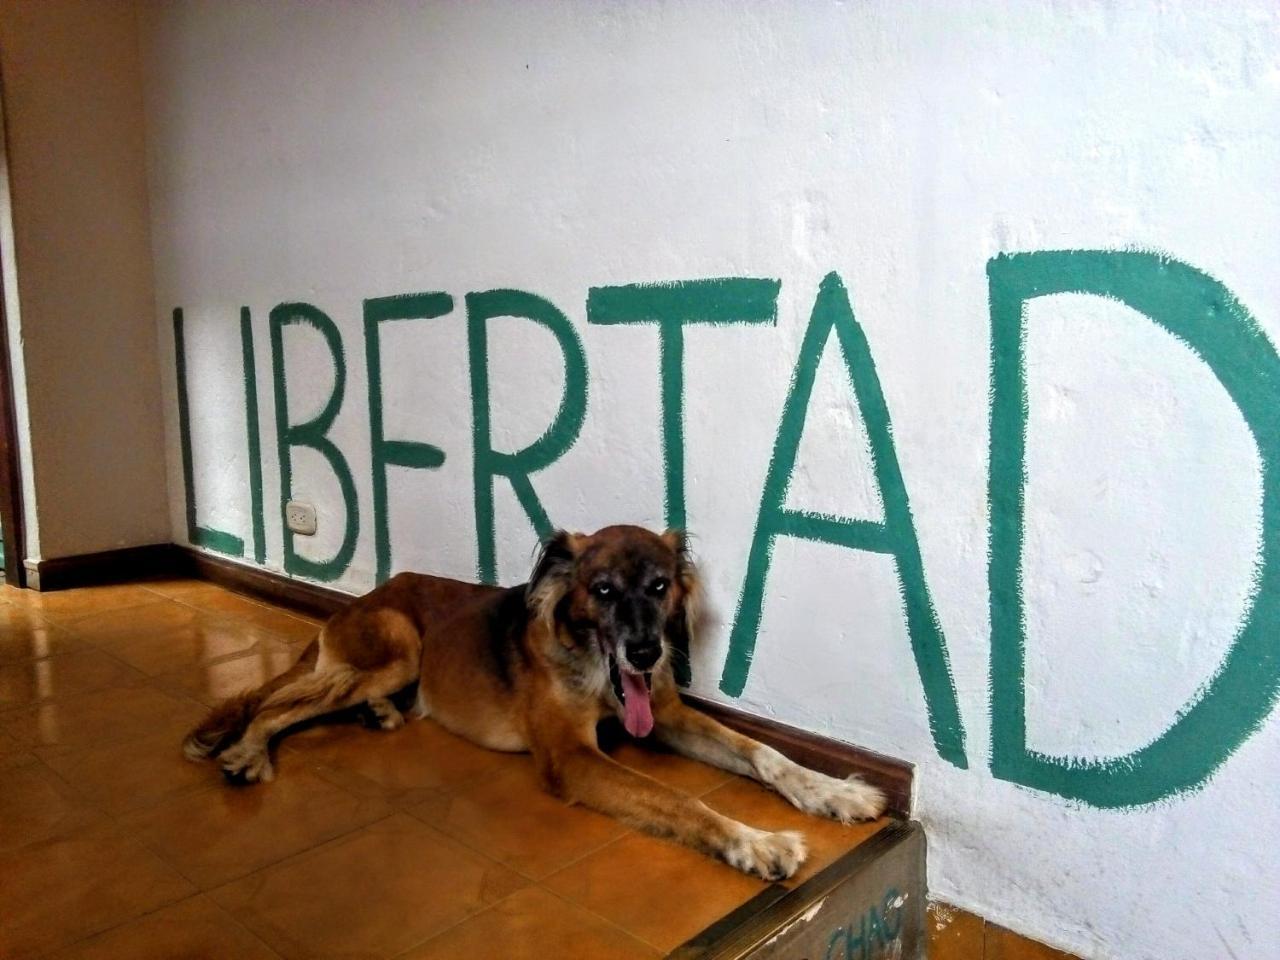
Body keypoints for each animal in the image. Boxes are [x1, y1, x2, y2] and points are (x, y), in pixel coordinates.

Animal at [185, 527, 885, 880]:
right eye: (602, 590)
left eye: (660, 587)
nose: (645, 654)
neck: (596, 668)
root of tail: (362, 597)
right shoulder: (570, 759)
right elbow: (679, 800)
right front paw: (756, 843)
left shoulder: (666, 716)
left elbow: (764, 753)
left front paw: (833, 792)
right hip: (397, 648)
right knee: (276, 706)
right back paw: (248, 751)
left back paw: (377, 714)